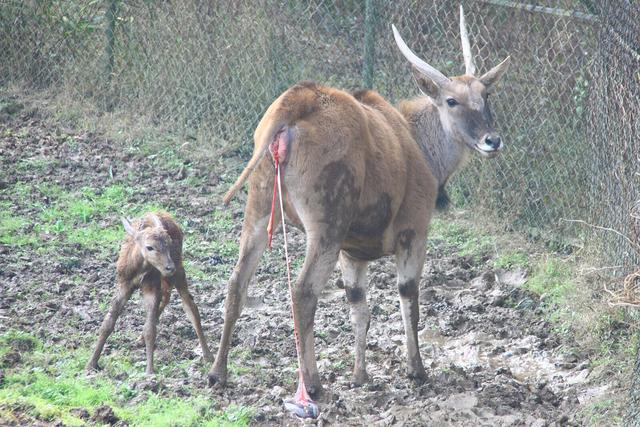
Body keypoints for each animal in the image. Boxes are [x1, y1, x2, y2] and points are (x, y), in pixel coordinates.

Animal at [85, 213, 212, 374]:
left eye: (168, 244)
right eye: (149, 247)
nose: (169, 267)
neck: (138, 269)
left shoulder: (151, 285)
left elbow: (150, 329)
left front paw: (150, 370)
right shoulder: (123, 283)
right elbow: (107, 323)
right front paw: (91, 364)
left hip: (178, 269)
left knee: (190, 305)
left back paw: (208, 356)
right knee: (167, 296)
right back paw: (139, 339)